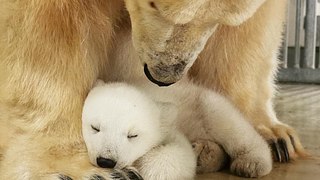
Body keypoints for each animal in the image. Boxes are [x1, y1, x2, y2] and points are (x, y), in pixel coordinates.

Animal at [0, 0, 304, 179]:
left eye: (221, 20)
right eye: (154, 6)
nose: (163, 76)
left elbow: (254, 28)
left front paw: (275, 135)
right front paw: (78, 169)